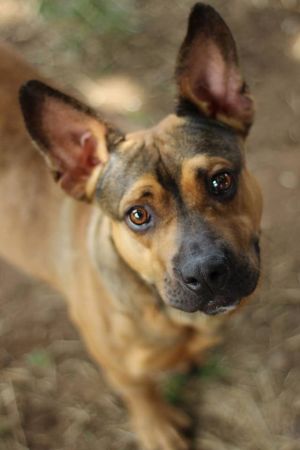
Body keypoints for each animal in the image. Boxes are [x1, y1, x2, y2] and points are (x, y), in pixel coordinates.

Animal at [0, 3, 262, 450]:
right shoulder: (119, 368)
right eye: (138, 215)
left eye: (221, 181)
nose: (207, 273)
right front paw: (157, 427)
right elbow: (141, 392)